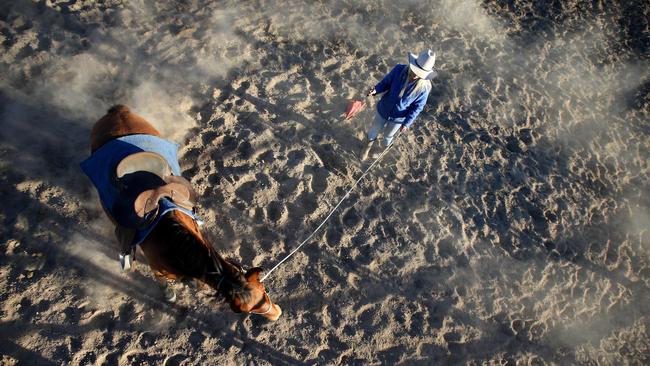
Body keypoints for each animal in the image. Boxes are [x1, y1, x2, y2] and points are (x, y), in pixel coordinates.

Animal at [85, 103, 278, 320]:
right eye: (249, 310)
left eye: (264, 291)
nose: (277, 314)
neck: (172, 242)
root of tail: (119, 111)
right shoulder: (157, 268)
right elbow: (162, 283)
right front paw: (169, 294)